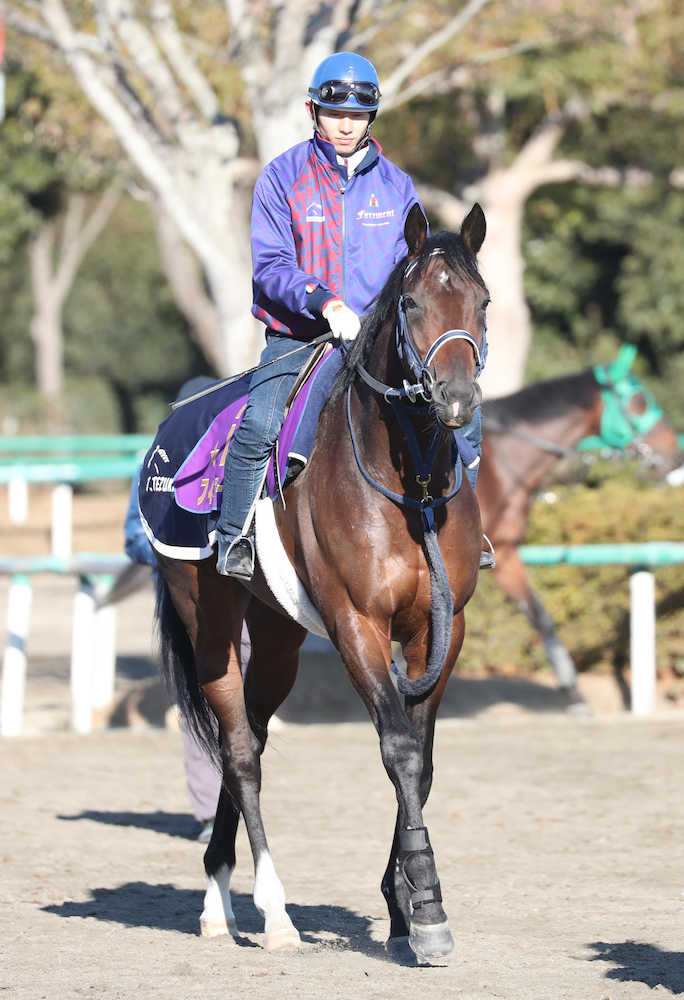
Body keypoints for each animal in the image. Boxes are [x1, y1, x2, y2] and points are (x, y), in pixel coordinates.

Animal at [151, 203, 489, 963]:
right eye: (412, 303)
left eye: (482, 303)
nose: (455, 400)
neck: (410, 487)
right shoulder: (355, 624)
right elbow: (397, 748)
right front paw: (427, 908)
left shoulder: (439, 630)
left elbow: (420, 759)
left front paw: (401, 907)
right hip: (209, 622)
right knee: (240, 751)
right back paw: (269, 913)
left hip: (276, 636)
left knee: (250, 732)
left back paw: (219, 896)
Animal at [477, 346, 684, 708]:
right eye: (640, 400)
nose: (674, 455)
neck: (499, 462)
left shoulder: (503, 551)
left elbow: (540, 615)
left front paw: (572, 689)